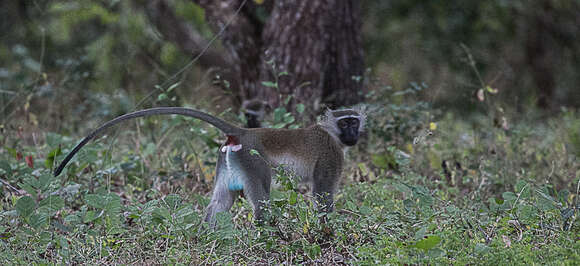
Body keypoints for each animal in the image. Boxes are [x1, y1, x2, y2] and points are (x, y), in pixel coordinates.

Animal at [53, 107, 362, 225]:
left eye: (355, 121)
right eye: (346, 122)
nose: (353, 133)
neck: (330, 133)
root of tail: (243, 132)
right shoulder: (331, 155)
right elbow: (323, 195)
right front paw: (329, 230)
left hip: (230, 159)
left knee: (221, 200)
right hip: (252, 160)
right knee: (262, 200)